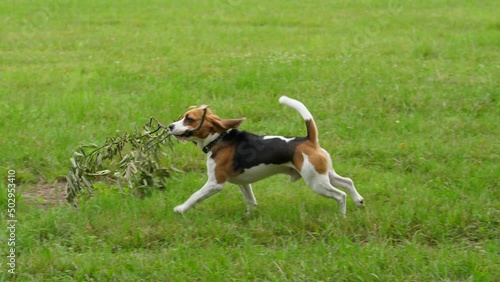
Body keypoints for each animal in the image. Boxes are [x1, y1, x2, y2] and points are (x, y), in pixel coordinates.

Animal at [168, 96, 364, 216]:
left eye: (189, 119)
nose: (170, 126)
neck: (218, 139)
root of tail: (309, 140)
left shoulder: (215, 183)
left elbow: (195, 196)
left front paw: (181, 209)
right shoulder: (243, 182)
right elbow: (250, 200)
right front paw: (249, 215)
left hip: (316, 182)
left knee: (340, 195)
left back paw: (342, 216)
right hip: (325, 174)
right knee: (347, 182)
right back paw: (359, 201)